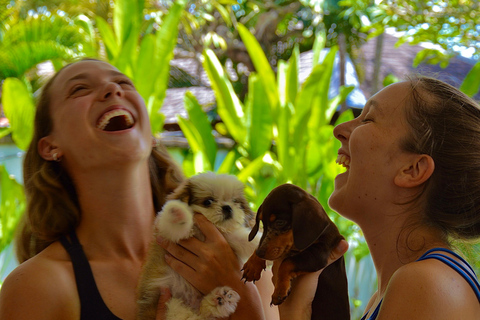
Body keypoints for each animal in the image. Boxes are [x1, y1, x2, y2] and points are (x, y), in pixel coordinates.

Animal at [136, 174, 258, 318]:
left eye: (235, 201)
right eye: (208, 201)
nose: (227, 207)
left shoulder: (229, 237)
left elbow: (243, 239)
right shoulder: (168, 233)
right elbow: (175, 226)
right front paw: (178, 213)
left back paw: (221, 300)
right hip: (170, 304)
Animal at [242, 184, 346, 318]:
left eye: (280, 222)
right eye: (262, 224)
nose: (260, 253)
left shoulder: (319, 254)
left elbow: (287, 262)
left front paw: (280, 290)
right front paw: (252, 266)